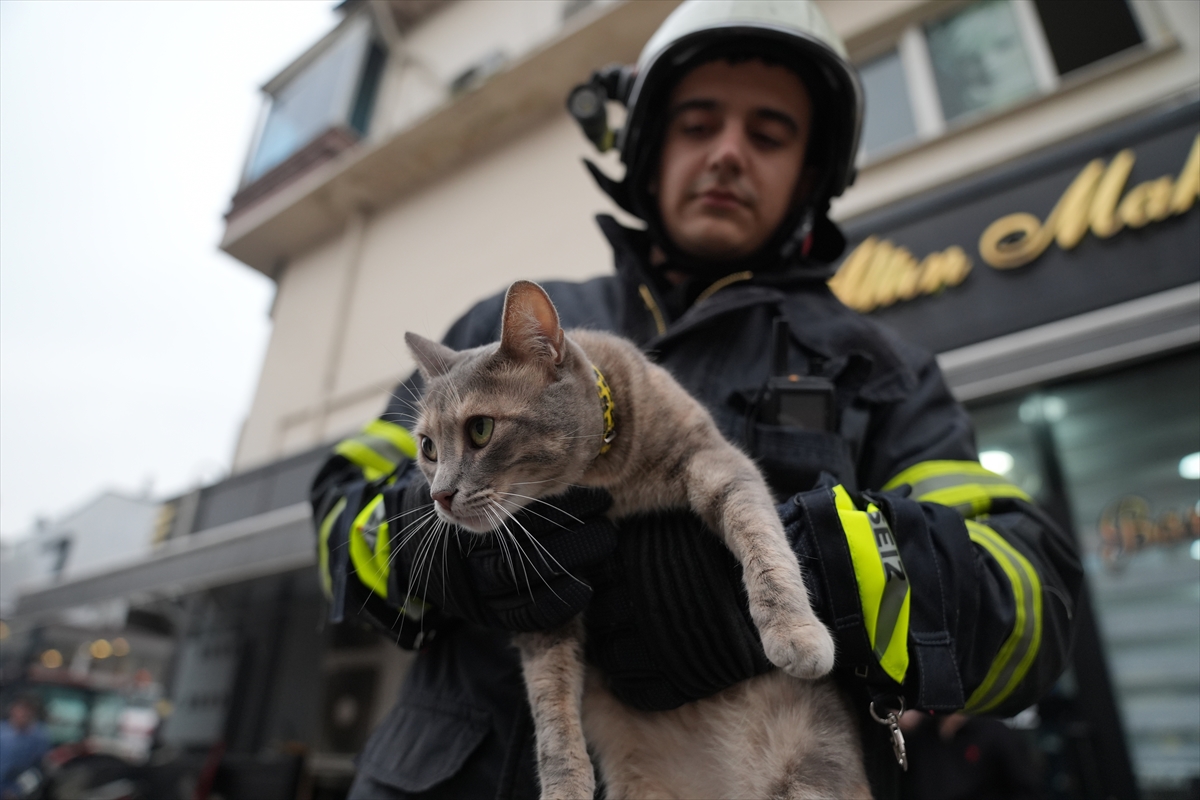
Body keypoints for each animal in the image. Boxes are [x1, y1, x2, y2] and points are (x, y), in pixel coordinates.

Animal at [408, 281, 868, 800]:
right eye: (428, 447)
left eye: (481, 429)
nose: (439, 495)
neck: (604, 482)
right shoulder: (546, 603)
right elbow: (551, 702)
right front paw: (564, 785)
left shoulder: (717, 462)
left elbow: (761, 539)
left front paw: (794, 631)